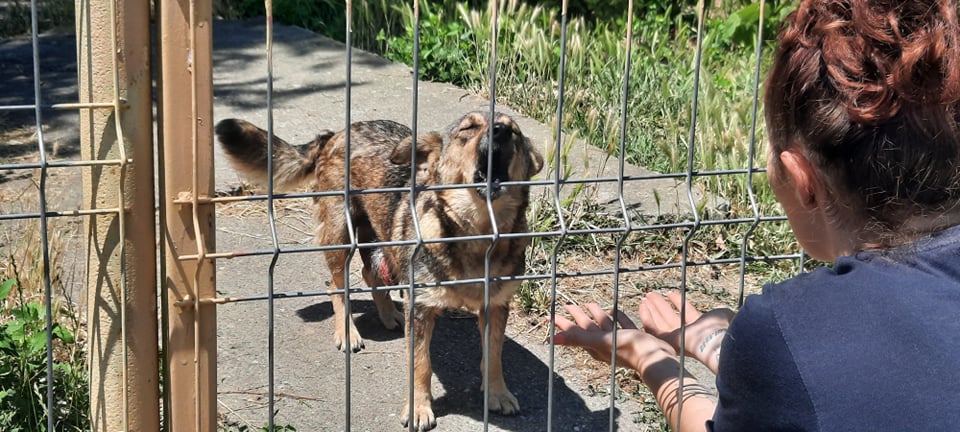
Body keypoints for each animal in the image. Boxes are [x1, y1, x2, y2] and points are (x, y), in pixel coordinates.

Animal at [215, 112, 544, 431]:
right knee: (336, 285)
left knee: (369, 274)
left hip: (383, 238)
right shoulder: (420, 309)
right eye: (469, 128)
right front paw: (418, 408)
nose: (500, 130)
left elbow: (494, 355)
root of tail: (336, 134)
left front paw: (497, 393)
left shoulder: (496, 306)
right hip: (340, 235)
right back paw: (347, 332)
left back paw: (389, 315)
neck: (478, 234)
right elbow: (420, 365)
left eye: (514, 131)